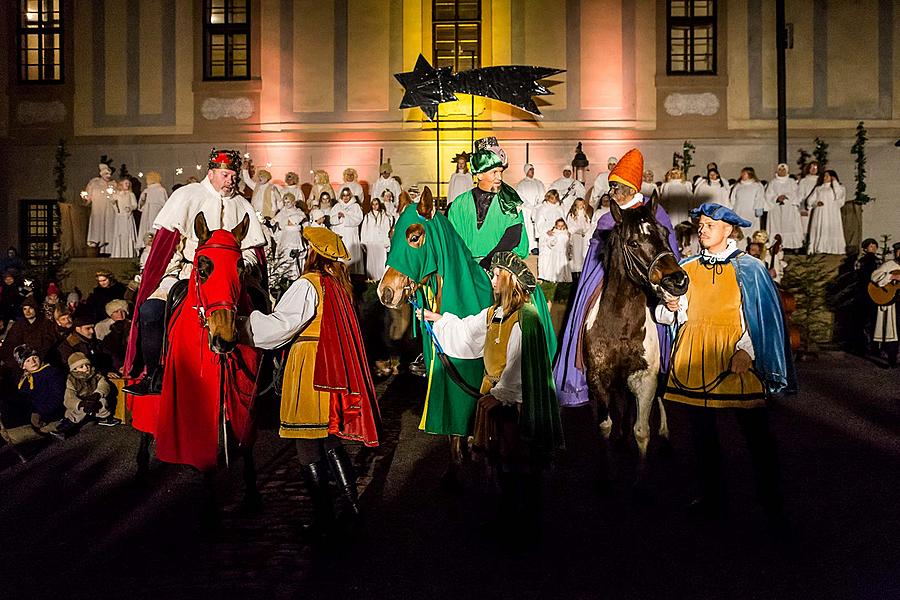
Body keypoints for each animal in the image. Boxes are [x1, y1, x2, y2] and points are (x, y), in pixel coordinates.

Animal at [130, 213, 264, 508]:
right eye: (202, 270)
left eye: (240, 269)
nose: (224, 338)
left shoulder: (244, 398)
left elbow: (246, 441)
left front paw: (251, 493)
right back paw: (142, 466)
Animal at [584, 199, 688, 480]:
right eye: (632, 243)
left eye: (665, 233)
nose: (678, 281)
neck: (620, 326)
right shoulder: (598, 378)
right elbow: (604, 426)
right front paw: (605, 473)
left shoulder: (645, 378)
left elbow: (642, 431)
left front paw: (640, 480)